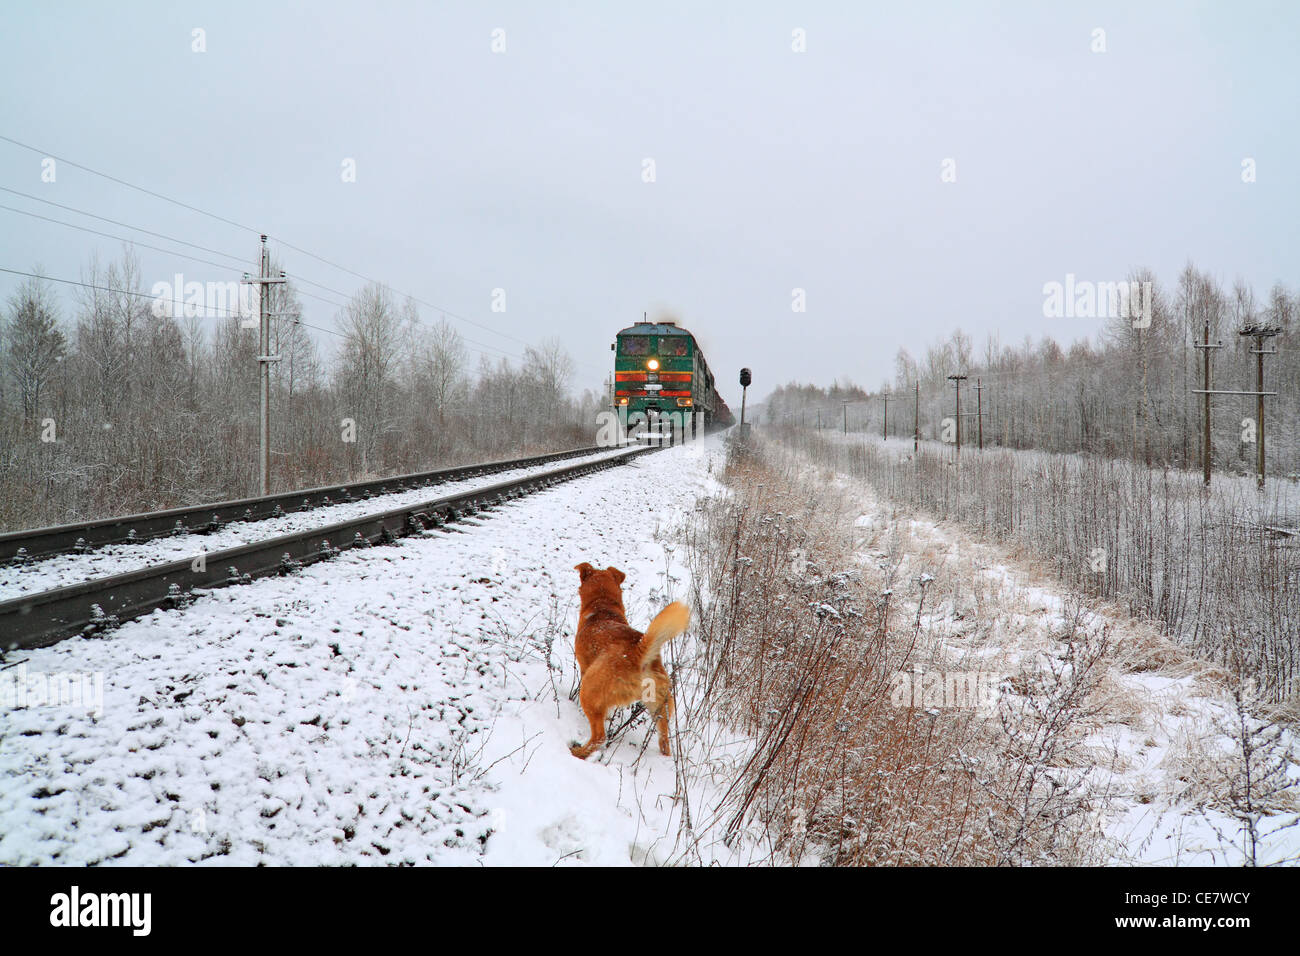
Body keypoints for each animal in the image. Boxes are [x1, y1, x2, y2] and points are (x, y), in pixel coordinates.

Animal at [569, 564, 691, 759]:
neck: (603, 604)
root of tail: (638, 653)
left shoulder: (584, 667)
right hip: (660, 708)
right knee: (664, 741)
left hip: (589, 689)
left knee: (599, 736)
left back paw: (579, 752)